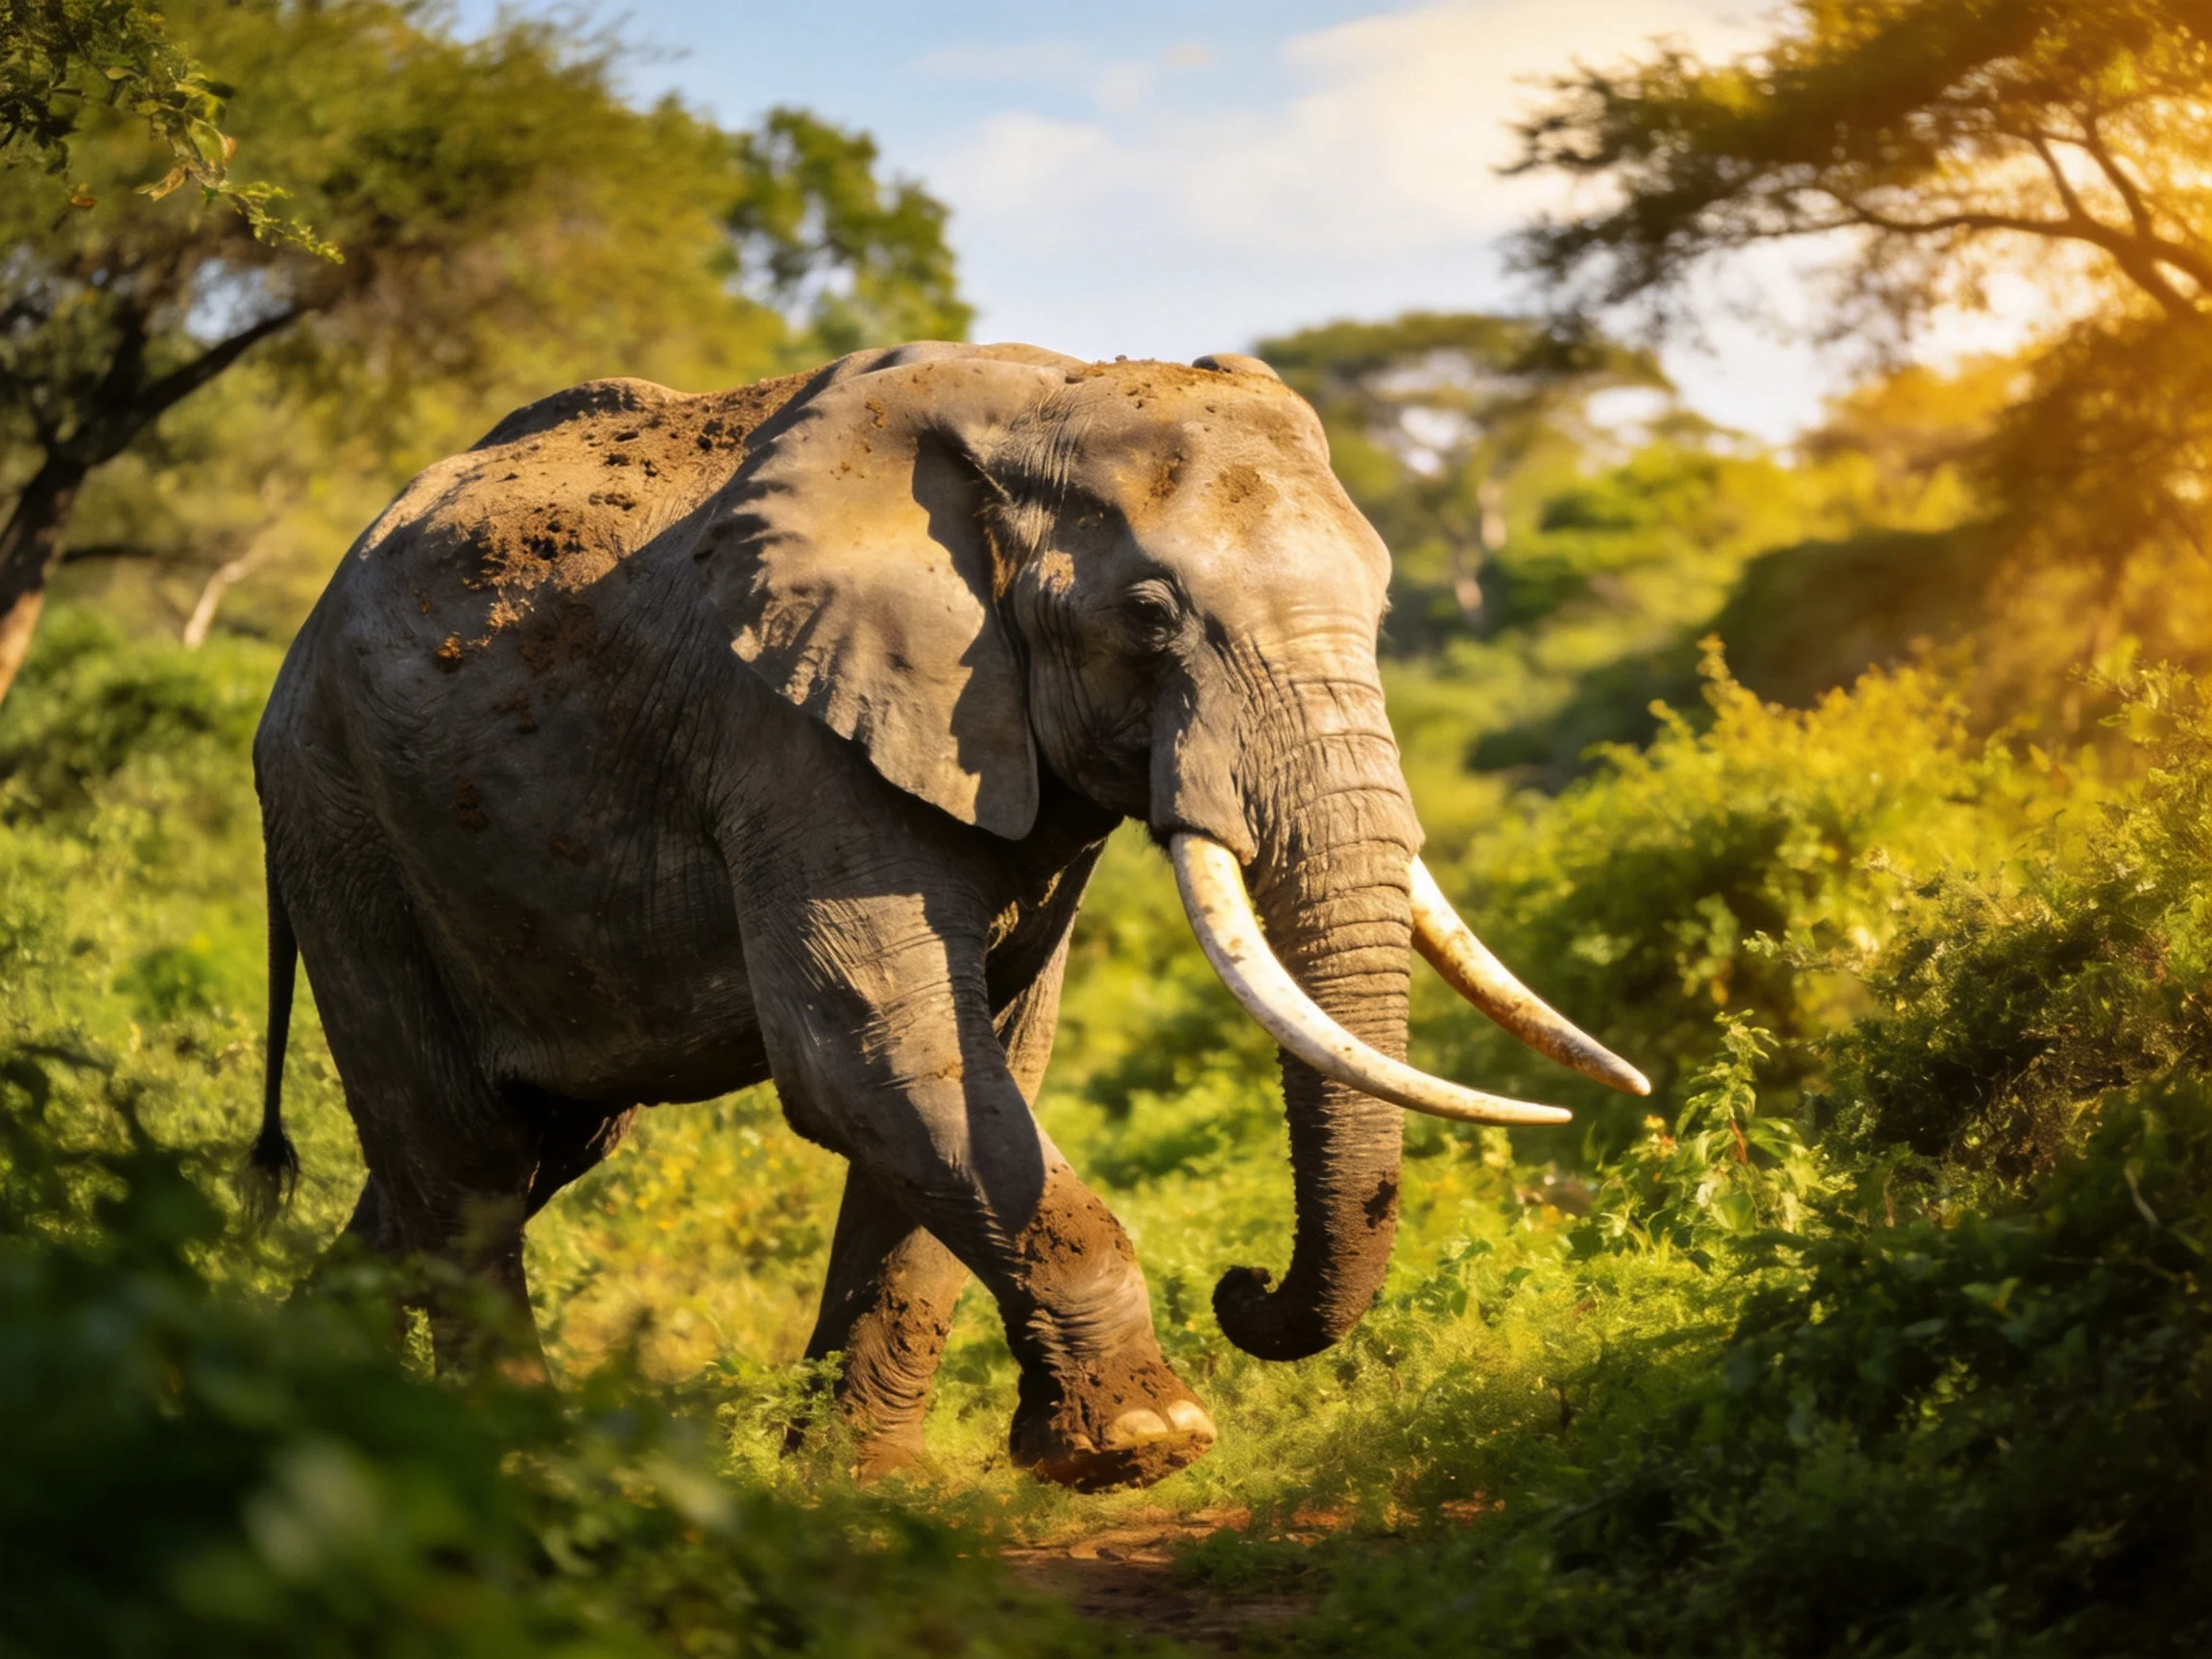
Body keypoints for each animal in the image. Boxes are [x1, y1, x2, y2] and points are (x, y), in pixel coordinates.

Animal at [248, 340, 1647, 1491]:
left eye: (1383, 610)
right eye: (1150, 617)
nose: (1243, 1283)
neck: (1049, 396)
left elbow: (985, 1071)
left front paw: (864, 1487)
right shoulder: (793, 729)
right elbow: (883, 1057)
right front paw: (1147, 1444)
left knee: (516, 1155)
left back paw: (283, 1403)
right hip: (341, 819)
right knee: (464, 1152)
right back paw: (505, 1468)